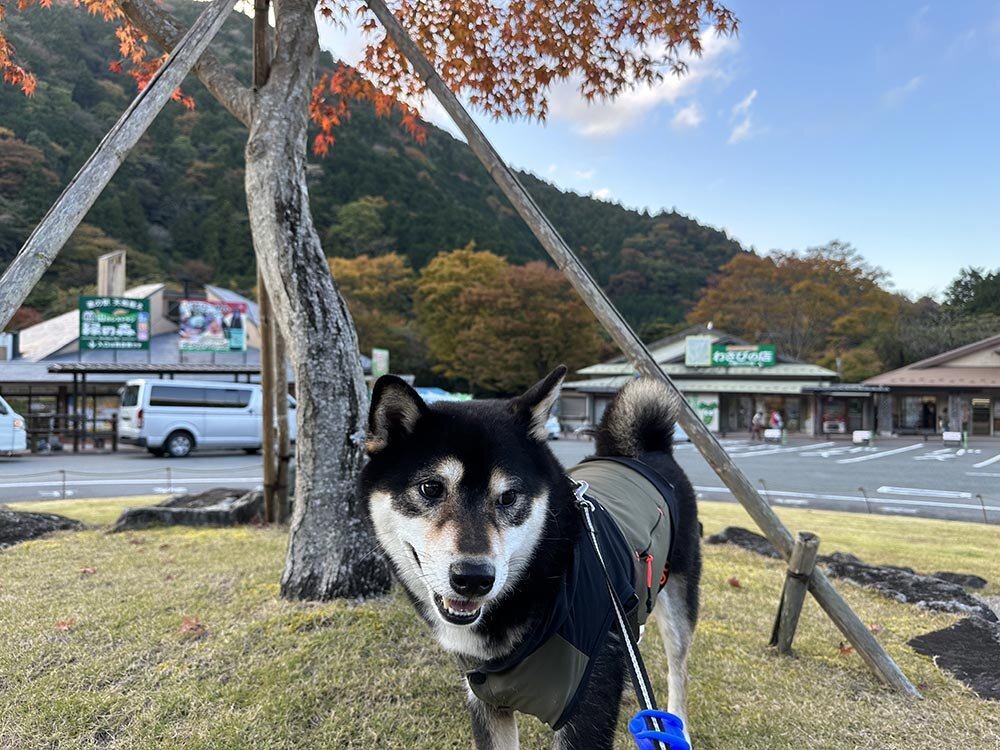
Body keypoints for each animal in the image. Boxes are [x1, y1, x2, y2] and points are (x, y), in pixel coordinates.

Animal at [362, 368, 704, 748]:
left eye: (508, 497)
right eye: (431, 488)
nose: (473, 578)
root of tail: (642, 453)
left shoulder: (586, 711)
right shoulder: (486, 704)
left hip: (678, 606)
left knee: (679, 670)